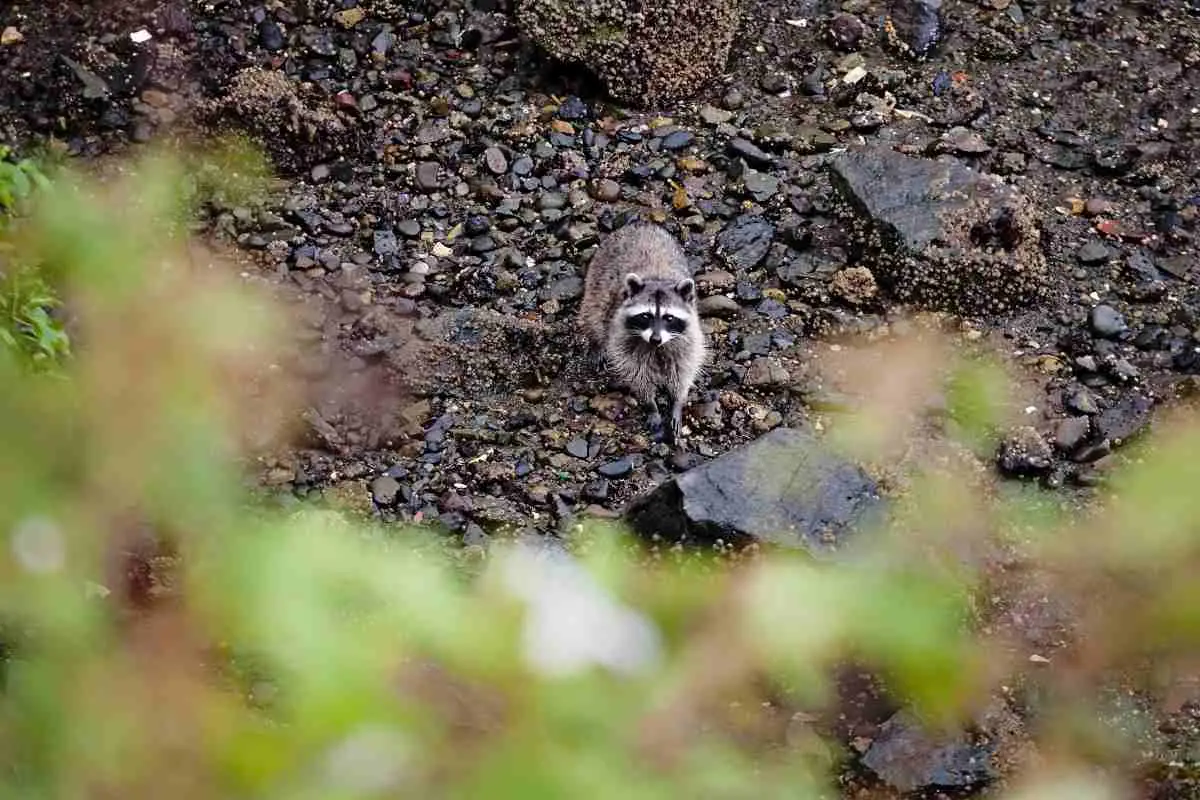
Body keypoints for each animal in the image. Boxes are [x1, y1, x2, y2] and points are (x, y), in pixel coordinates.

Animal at [578, 221, 705, 441]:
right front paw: (651, 405)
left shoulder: (688, 338)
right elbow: (637, 374)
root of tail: (638, 223)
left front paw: (677, 402)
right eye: (646, 316)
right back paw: (596, 342)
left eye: (669, 318)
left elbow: (683, 370)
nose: (655, 339)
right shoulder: (623, 338)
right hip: (597, 280)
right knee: (594, 313)